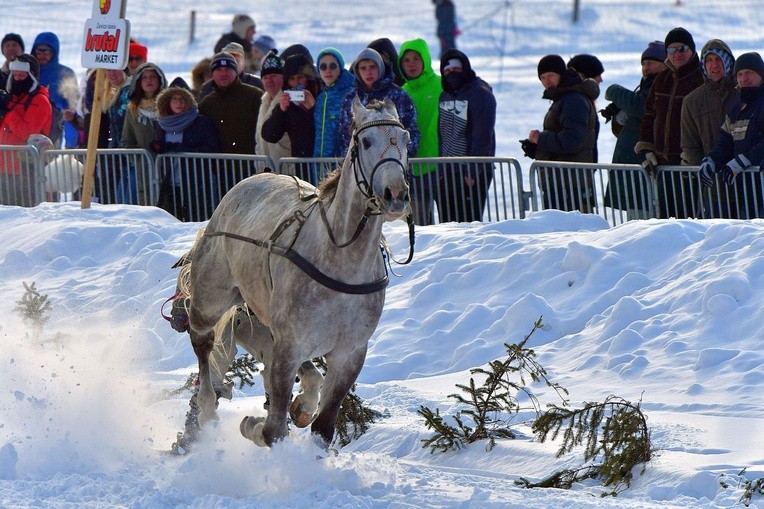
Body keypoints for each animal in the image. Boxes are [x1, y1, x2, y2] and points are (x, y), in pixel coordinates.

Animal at [183, 97, 412, 446]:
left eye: (406, 140)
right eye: (366, 142)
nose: (396, 194)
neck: (343, 261)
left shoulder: (349, 354)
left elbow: (323, 428)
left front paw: (304, 410)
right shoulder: (289, 346)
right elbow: (271, 431)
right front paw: (252, 425)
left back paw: (304, 399)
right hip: (212, 298)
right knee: (202, 341)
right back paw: (207, 406)